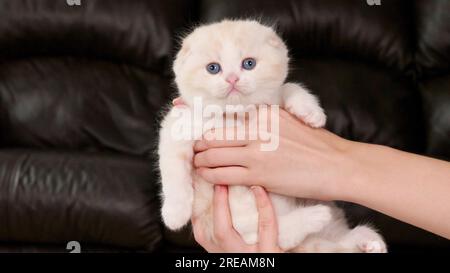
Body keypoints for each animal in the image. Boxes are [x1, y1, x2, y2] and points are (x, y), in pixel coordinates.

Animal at [158, 19, 386, 253]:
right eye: (213, 68)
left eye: (248, 63)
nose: (232, 79)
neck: (237, 114)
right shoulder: (178, 126)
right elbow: (173, 171)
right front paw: (175, 213)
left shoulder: (273, 100)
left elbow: (290, 87)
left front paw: (312, 113)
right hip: (235, 223)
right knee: (269, 233)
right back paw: (315, 217)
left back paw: (367, 241)